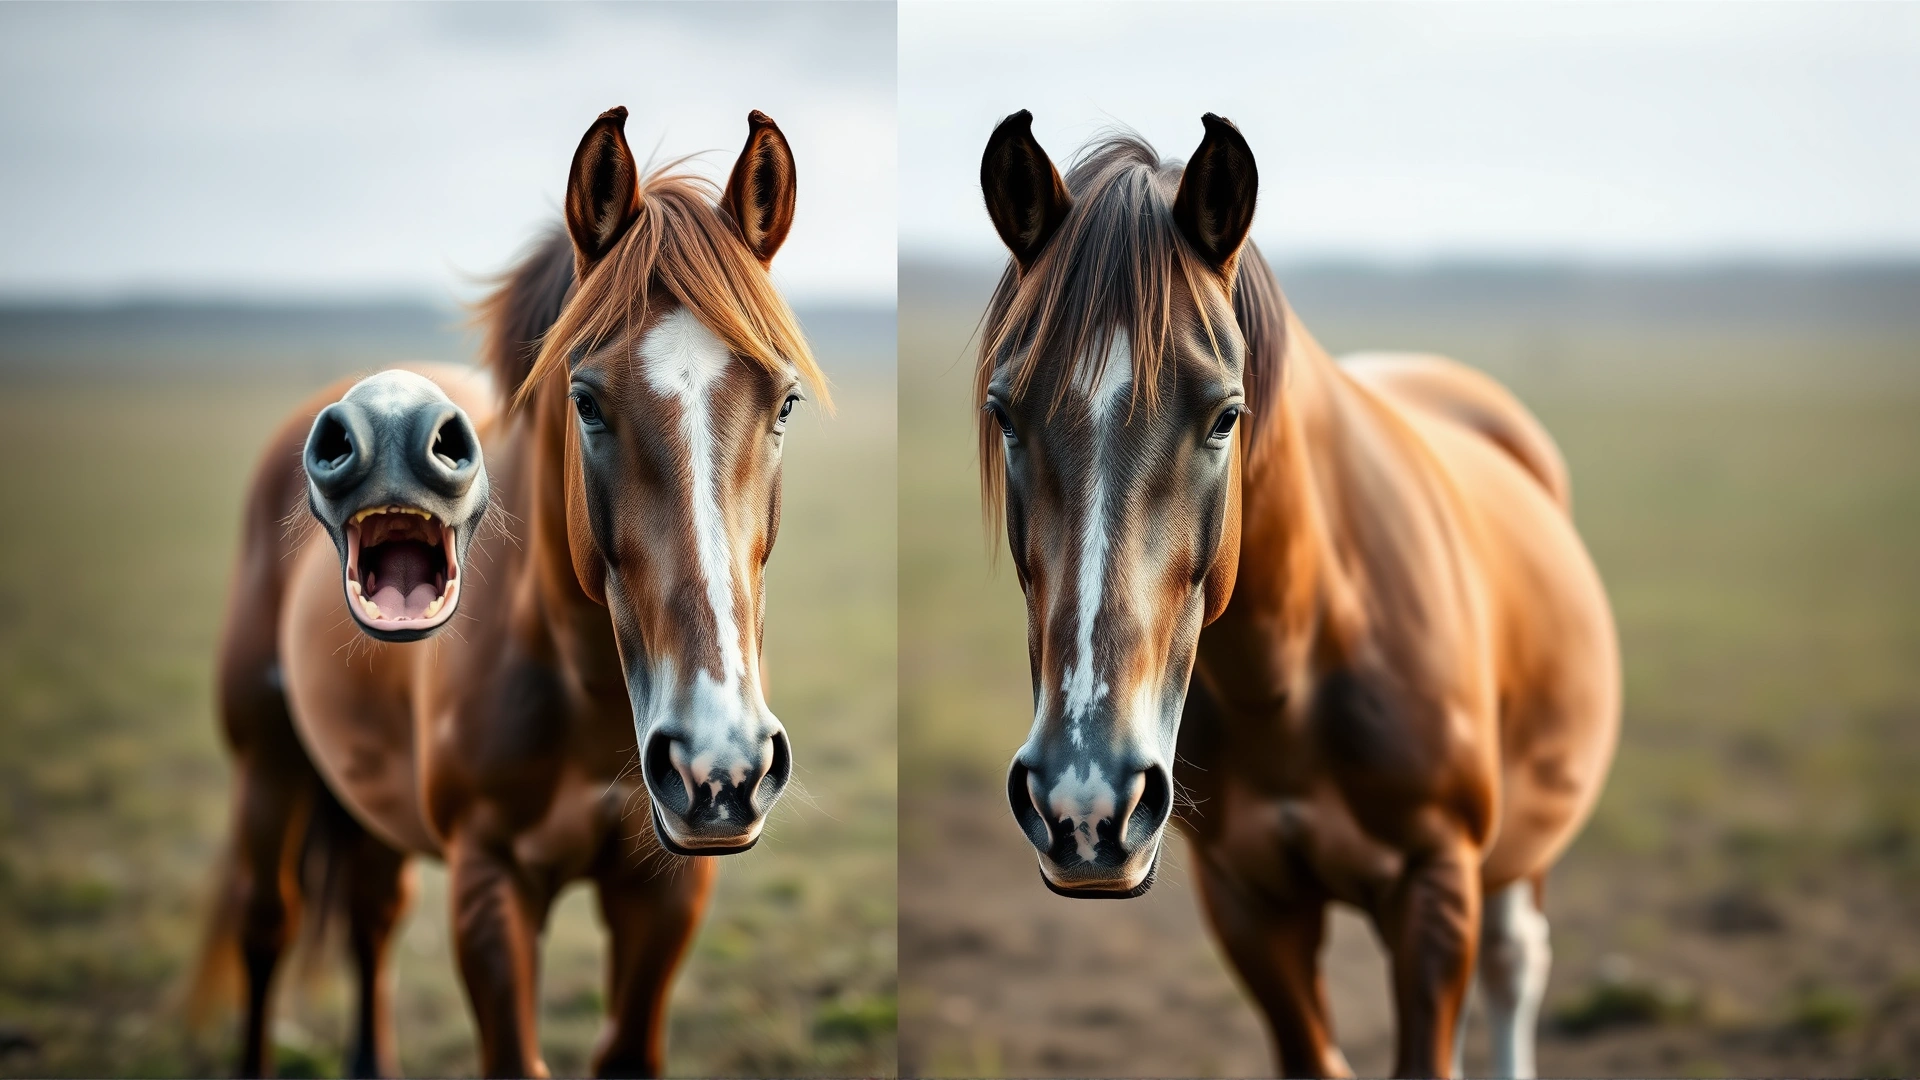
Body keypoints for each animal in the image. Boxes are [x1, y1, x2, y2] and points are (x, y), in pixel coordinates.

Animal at [195, 105, 828, 1078]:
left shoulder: (668, 888)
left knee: (371, 918)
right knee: (269, 927)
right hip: (268, 768)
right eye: (588, 402)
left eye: (786, 402)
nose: (719, 767)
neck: (593, 703)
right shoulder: (488, 883)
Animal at [973, 111, 1618, 1078]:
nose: (1084, 805)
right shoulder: (1248, 902)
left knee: (1516, 968)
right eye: (1006, 413)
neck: (1293, 675)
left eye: (1224, 416)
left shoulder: (1437, 891)